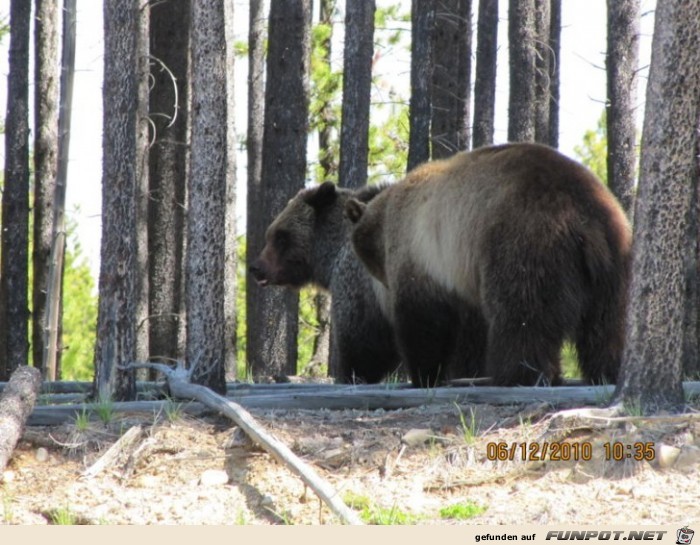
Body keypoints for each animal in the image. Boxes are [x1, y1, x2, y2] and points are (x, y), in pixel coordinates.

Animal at [346, 141, 636, 386]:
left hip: (523, 242)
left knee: (522, 315)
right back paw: (607, 370)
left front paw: (425, 375)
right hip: (614, 259)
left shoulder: (420, 253)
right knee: (609, 322)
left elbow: (423, 319)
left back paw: (517, 374)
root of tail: (586, 216)